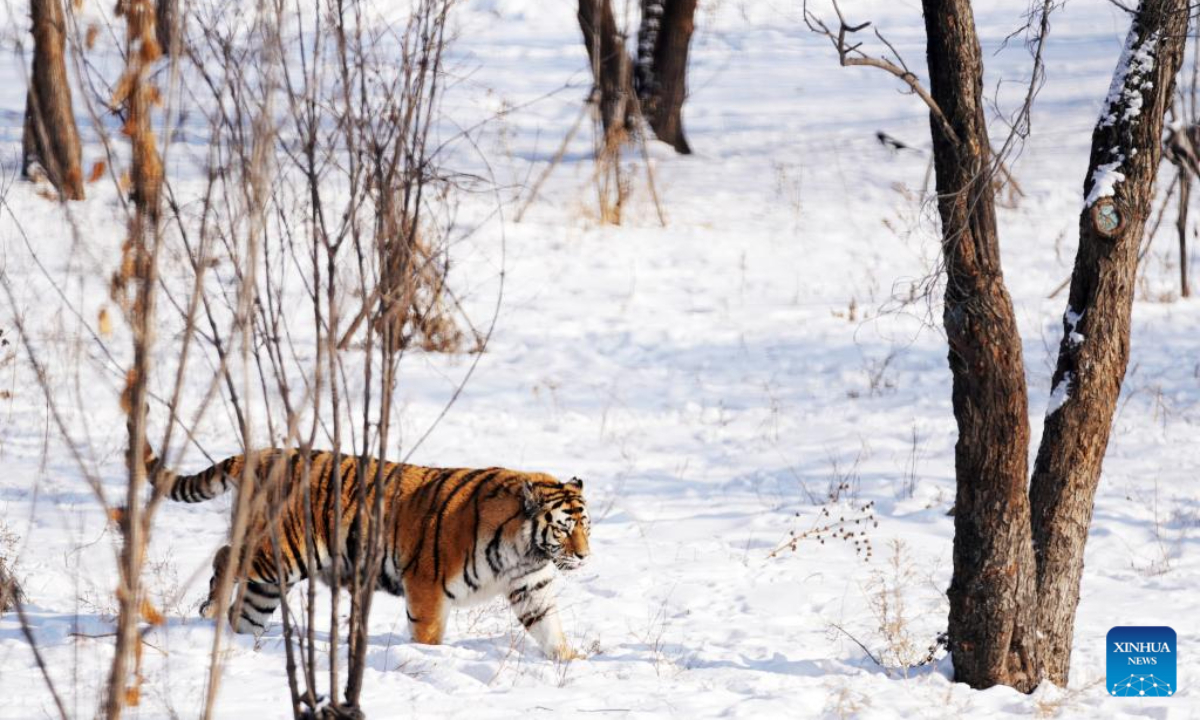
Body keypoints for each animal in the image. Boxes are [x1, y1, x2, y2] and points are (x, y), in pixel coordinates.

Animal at [152, 446, 592, 662]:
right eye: (564, 528)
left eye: (586, 526)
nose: (585, 557)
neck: (525, 549)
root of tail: (259, 454)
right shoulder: (426, 585)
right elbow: (428, 635)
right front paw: (429, 659)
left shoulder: (531, 588)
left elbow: (549, 629)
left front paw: (570, 661)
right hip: (282, 552)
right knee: (225, 555)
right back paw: (211, 608)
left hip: (271, 579)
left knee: (244, 611)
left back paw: (241, 643)